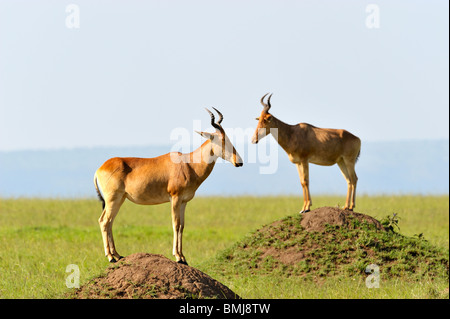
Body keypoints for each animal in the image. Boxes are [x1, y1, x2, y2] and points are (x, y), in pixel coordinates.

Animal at [93, 109, 243, 264]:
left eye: (228, 139)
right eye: (221, 140)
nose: (239, 162)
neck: (188, 163)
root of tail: (100, 168)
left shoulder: (183, 201)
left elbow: (182, 226)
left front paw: (183, 257)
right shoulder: (174, 198)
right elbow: (175, 224)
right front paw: (177, 257)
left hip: (119, 200)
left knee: (109, 222)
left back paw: (117, 255)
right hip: (113, 199)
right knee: (104, 221)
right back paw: (111, 257)